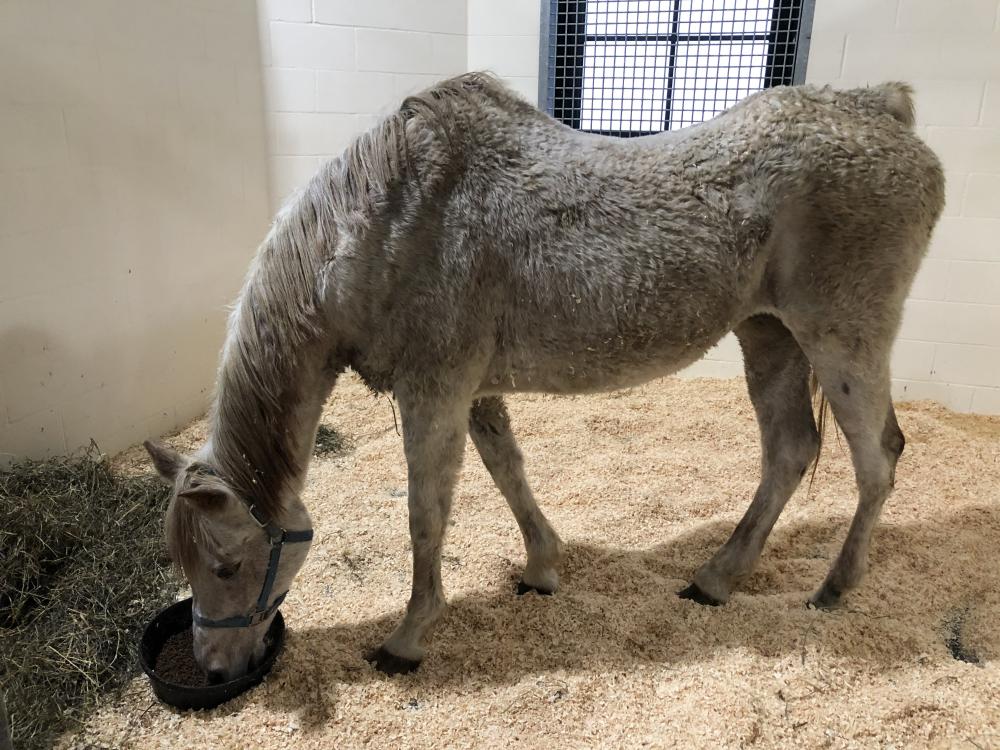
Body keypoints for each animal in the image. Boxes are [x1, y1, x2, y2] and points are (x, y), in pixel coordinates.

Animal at [145, 73, 945, 680]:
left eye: (225, 567)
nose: (213, 667)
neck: (381, 224)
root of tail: (880, 109)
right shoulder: (473, 393)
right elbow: (509, 471)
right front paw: (541, 568)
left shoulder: (433, 392)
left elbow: (426, 515)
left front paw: (408, 637)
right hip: (769, 335)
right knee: (789, 451)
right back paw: (717, 578)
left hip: (842, 342)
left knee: (878, 459)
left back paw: (834, 587)